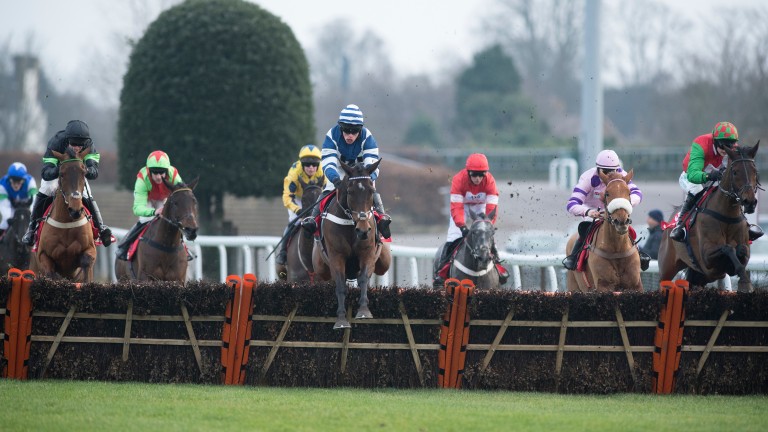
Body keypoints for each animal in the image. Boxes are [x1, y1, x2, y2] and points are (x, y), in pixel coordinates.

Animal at [29, 148, 97, 284]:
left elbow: (87, 261)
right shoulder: (42, 255)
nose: (75, 210)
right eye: (61, 173)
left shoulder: (90, 249)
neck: (67, 222)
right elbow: (51, 271)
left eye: (84, 172)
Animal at [312, 160, 392, 330]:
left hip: (383, 261)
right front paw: (341, 320)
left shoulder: (366, 253)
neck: (350, 225)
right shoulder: (336, 256)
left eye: (371, 190)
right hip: (321, 267)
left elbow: (363, 279)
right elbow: (340, 285)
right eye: (350, 191)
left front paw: (364, 311)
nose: (363, 230)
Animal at [656, 143, 760, 292]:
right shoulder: (706, 256)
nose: (749, 202)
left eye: (755, 171)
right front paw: (745, 283)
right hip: (667, 268)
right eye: (735, 172)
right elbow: (728, 248)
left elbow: (741, 250)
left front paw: (744, 281)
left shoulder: (744, 248)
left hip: (701, 277)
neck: (727, 215)